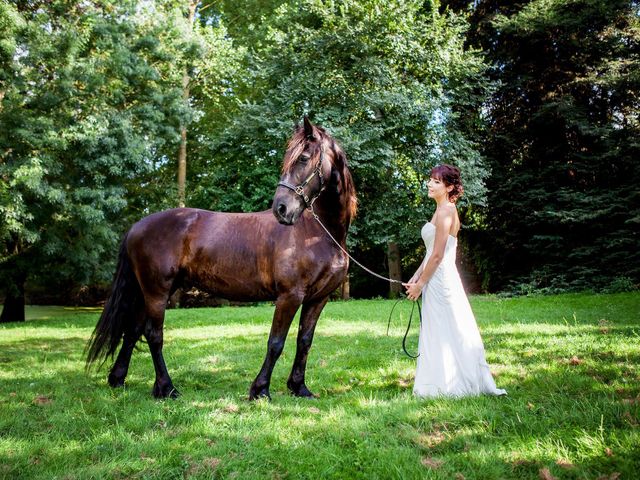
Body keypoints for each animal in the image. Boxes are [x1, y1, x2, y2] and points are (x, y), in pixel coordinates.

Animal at [85, 118, 358, 400]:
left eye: (303, 158)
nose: (281, 209)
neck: (317, 232)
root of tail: (136, 226)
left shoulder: (318, 298)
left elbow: (304, 341)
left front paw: (299, 387)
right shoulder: (289, 296)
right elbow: (276, 342)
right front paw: (260, 390)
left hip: (146, 291)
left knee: (133, 331)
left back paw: (119, 379)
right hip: (157, 291)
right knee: (153, 334)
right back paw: (166, 388)